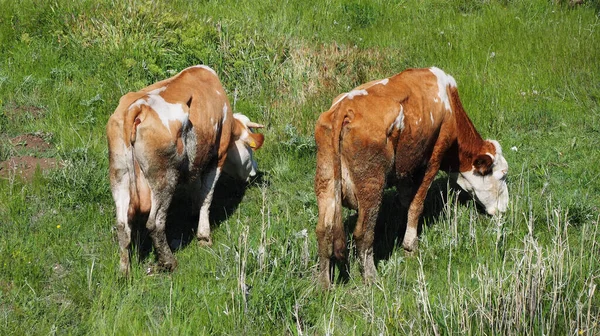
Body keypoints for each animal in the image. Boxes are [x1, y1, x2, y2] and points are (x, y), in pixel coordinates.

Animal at [107, 65, 264, 276]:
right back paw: (169, 262)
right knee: (155, 222)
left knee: (122, 225)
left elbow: (196, 189)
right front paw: (204, 237)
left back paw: (125, 271)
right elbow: (206, 196)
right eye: (249, 148)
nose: (254, 171)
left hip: (119, 174)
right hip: (164, 178)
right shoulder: (217, 157)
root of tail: (137, 107)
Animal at [314, 67, 506, 288]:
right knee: (363, 233)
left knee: (324, 230)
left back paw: (324, 285)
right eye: (503, 176)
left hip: (326, 180)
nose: (505, 209)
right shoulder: (434, 156)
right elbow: (416, 204)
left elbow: (406, 201)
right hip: (371, 183)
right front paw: (410, 245)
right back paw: (371, 278)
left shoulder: (405, 169)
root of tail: (345, 107)